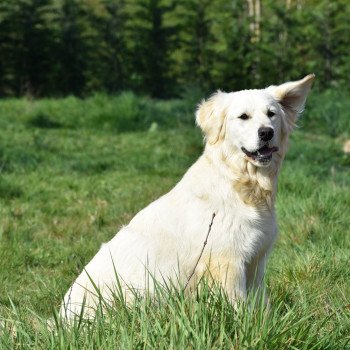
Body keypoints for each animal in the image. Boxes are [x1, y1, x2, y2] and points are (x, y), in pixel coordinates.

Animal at [60, 74, 314, 320]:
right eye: (243, 117)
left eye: (271, 114)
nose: (266, 132)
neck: (240, 184)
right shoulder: (226, 263)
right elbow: (238, 309)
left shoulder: (255, 261)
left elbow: (262, 305)